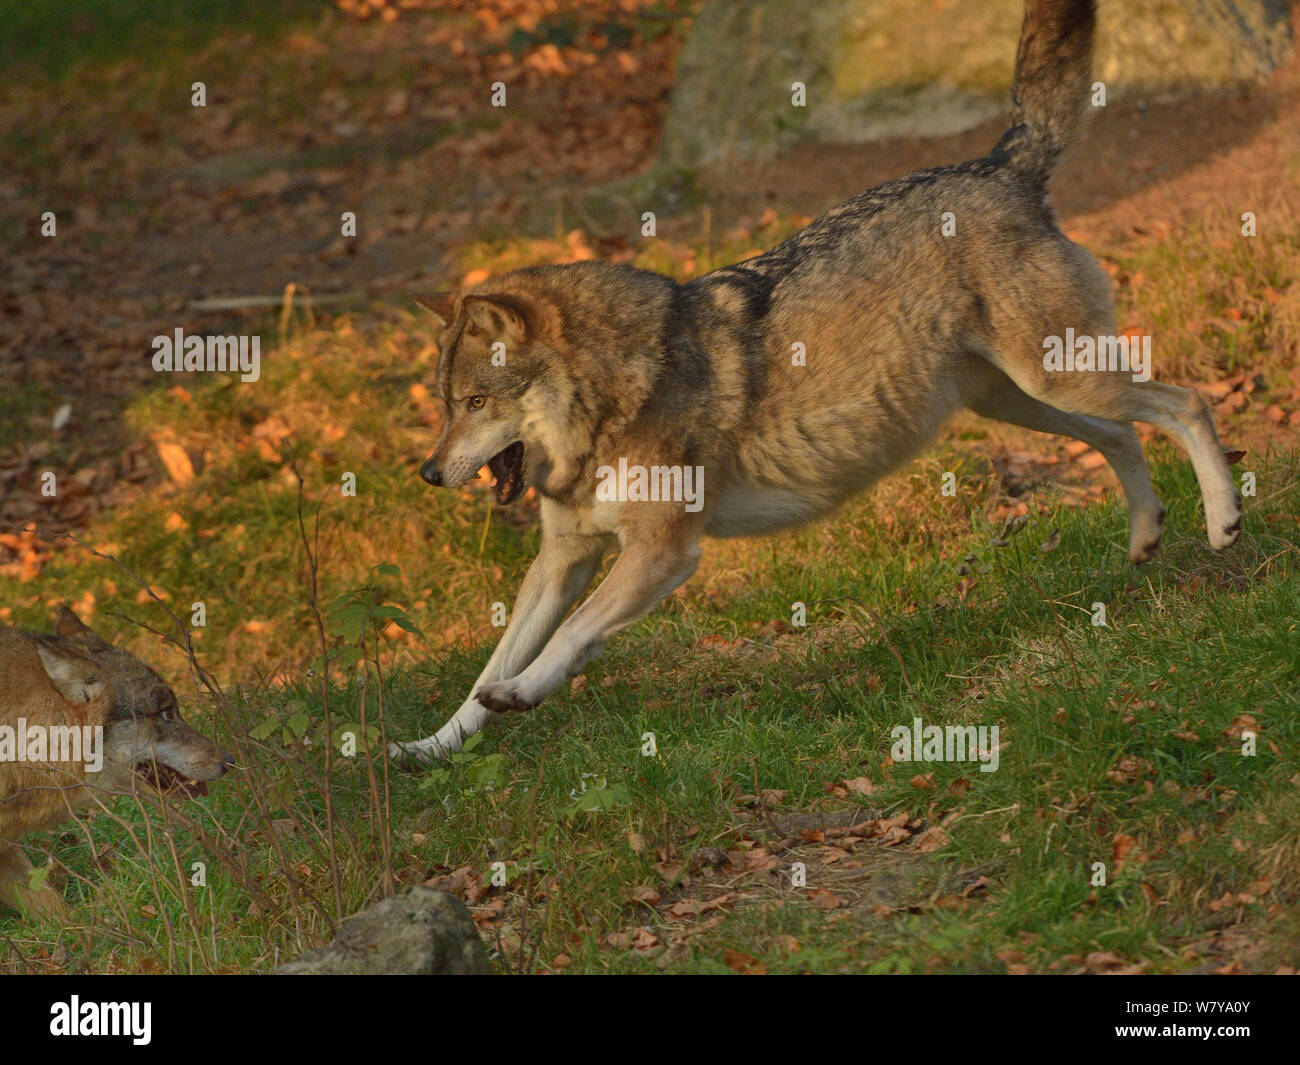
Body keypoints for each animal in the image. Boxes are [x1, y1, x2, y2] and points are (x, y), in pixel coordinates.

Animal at [391, 0, 1241, 765]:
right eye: (446, 404)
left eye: (476, 402)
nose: (428, 473)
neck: (613, 401)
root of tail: (1000, 163)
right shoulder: (561, 561)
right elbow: (483, 671)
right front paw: (428, 748)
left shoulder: (662, 554)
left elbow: (564, 641)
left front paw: (523, 692)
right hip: (1025, 401)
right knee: (1126, 434)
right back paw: (1146, 535)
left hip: (1058, 383)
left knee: (1185, 402)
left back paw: (1222, 521)